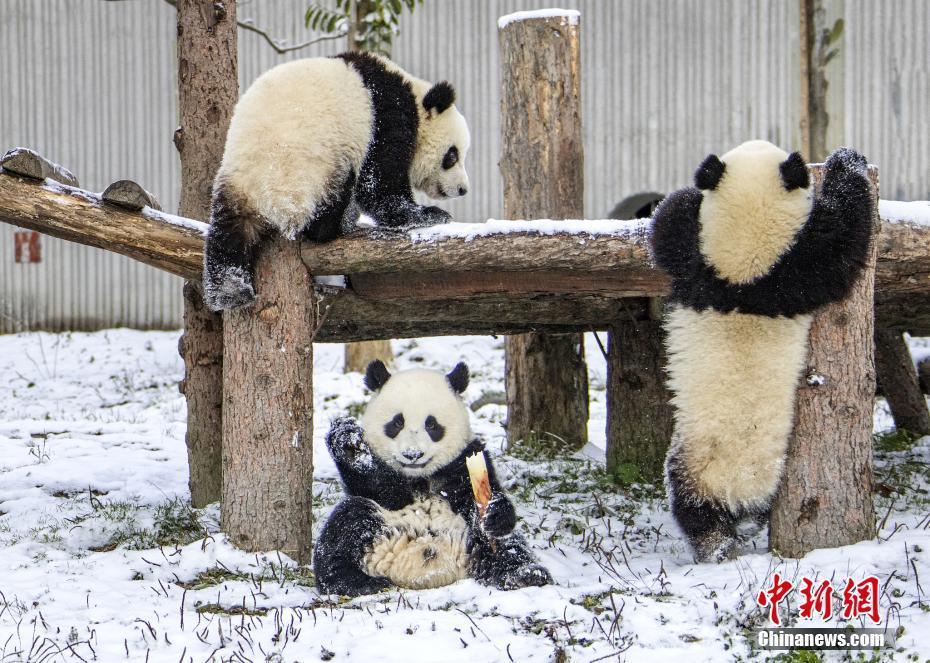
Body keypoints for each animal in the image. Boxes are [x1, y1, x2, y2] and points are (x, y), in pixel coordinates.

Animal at [199, 52, 468, 312]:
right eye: (452, 156)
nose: (463, 189)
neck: (414, 94)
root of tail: (266, 197)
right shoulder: (385, 113)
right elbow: (378, 186)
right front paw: (429, 214)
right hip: (314, 169)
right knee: (325, 214)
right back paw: (340, 222)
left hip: (236, 180)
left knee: (228, 233)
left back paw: (229, 292)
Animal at [316, 360, 556, 600]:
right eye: (397, 423)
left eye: (431, 425)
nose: (413, 454)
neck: (420, 478)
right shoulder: (387, 487)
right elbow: (379, 489)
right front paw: (350, 444)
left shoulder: (464, 459)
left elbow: (481, 494)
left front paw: (494, 511)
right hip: (378, 525)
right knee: (345, 526)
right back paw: (355, 581)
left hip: (468, 534)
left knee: (506, 544)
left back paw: (524, 574)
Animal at [648, 141, 872, 564]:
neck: (742, 274)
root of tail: (732, 494)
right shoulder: (788, 274)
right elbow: (841, 242)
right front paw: (848, 162)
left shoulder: (706, 273)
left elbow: (670, 233)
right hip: (714, 464)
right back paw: (721, 543)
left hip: (692, 461)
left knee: (693, 510)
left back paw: (715, 543)